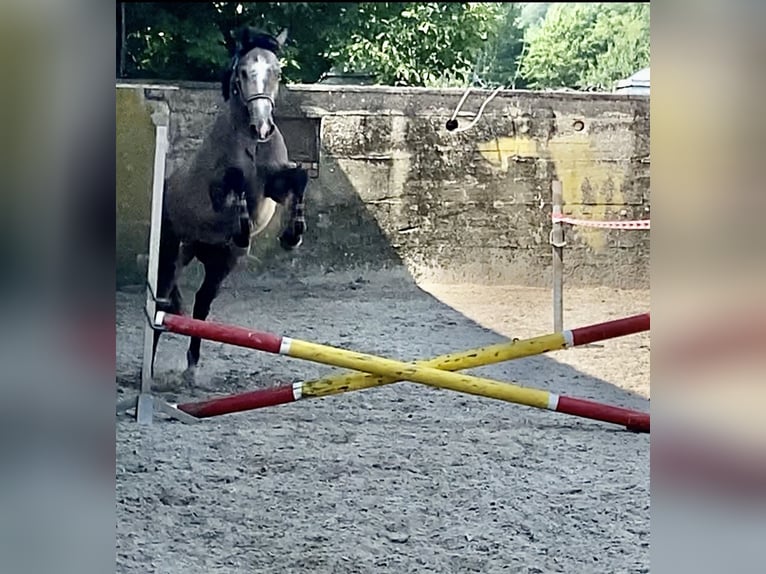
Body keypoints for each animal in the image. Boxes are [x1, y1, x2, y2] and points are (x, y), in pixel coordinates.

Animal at [152, 27, 308, 382]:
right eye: (243, 72)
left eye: (276, 72)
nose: (262, 127)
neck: (252, 143)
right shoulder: (218, 191)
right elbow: (234, 184)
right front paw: (242, 228)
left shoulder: (275, 186)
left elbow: (299, 179)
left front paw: (292, 234)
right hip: (171, 250)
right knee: (163, 299)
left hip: (219, 262)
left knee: (201, 304)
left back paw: (192, 365)